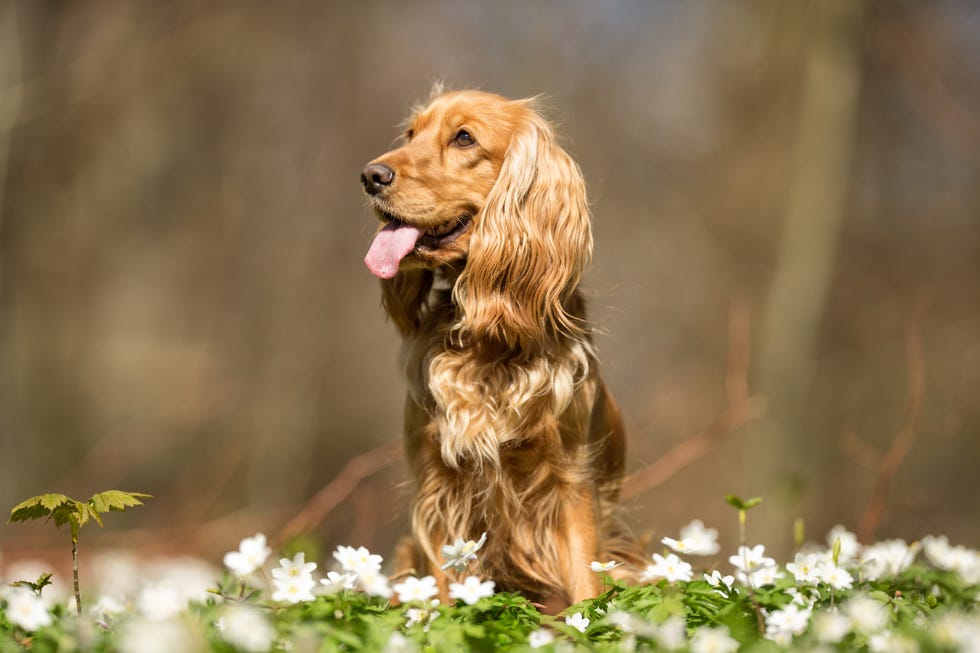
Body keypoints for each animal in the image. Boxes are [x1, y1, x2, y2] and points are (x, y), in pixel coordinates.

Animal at [360, 88, 644, 612]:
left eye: (464, 138)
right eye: (410, 134)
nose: (371, 176)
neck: (487, 342)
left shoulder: (571, 482)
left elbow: (585, 585)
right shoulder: (438, 488)